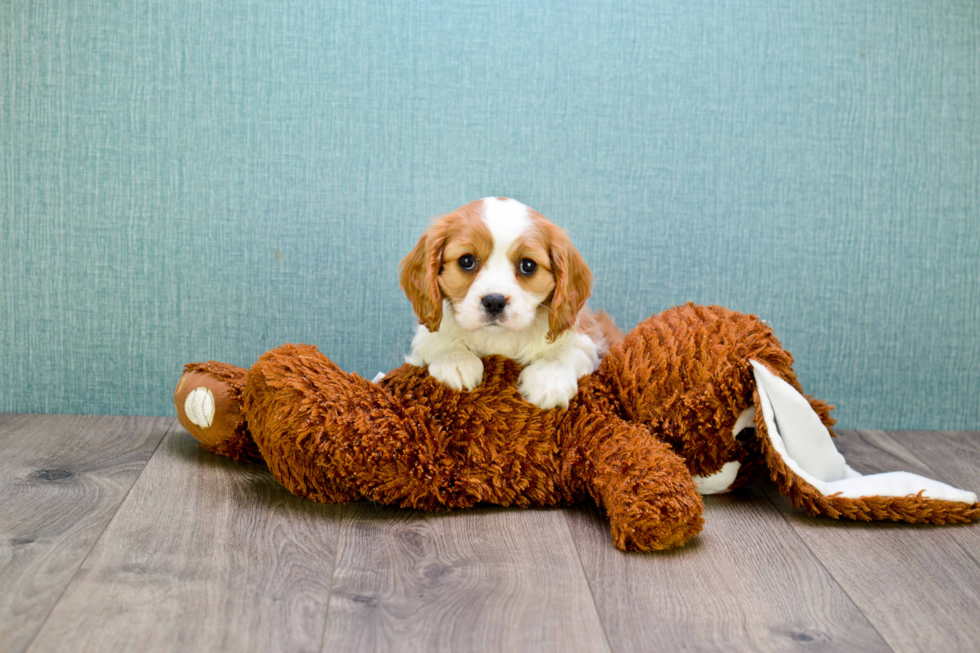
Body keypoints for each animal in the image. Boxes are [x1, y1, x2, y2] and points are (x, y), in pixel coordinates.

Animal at [398, 196, 620, 408]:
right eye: (466, 261)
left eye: (528, 265)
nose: (494, 301)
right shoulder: (424, 339)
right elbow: (438, 340)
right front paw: (455, 360)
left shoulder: (590, 336)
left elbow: (568, 350)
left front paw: (549, 378)